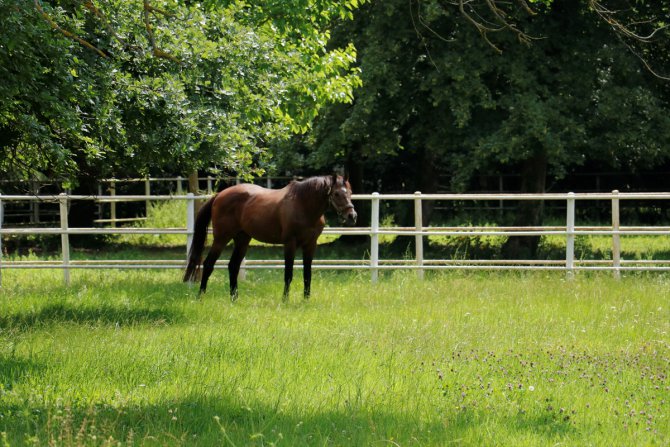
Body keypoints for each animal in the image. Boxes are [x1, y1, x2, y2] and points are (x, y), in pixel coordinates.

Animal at [181, 175, 360, 300]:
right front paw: (285, 300)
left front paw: (306, 299)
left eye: (350, 193)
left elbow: (307, 274)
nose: (352, 216)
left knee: (233, 266)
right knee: (208, 264)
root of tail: (219, 195)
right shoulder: (290, 243)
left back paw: (234, 298)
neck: (303, 204)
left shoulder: (311, 244)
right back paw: (201, 296)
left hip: (242, 239)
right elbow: (288, 274)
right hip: (221, 238)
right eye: (336, 194)